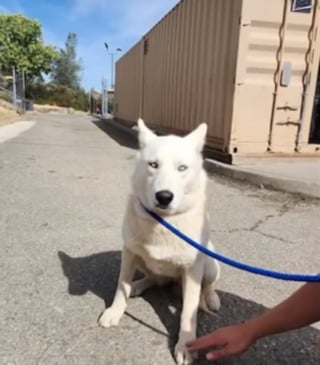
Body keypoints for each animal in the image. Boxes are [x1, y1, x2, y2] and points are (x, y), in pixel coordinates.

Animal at [99, 118, 221, 362]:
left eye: (182, 168)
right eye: (153, 165)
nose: (164, 197)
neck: (164, 222)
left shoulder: (193, 270)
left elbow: (188, 312)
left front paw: (185, 345)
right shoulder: (129, 253)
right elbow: (121, 286)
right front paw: (116, 310)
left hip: (210, 265)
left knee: (208, 285)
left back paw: (211, 298)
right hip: (144, 263)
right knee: (154, 279)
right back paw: (139, 285)